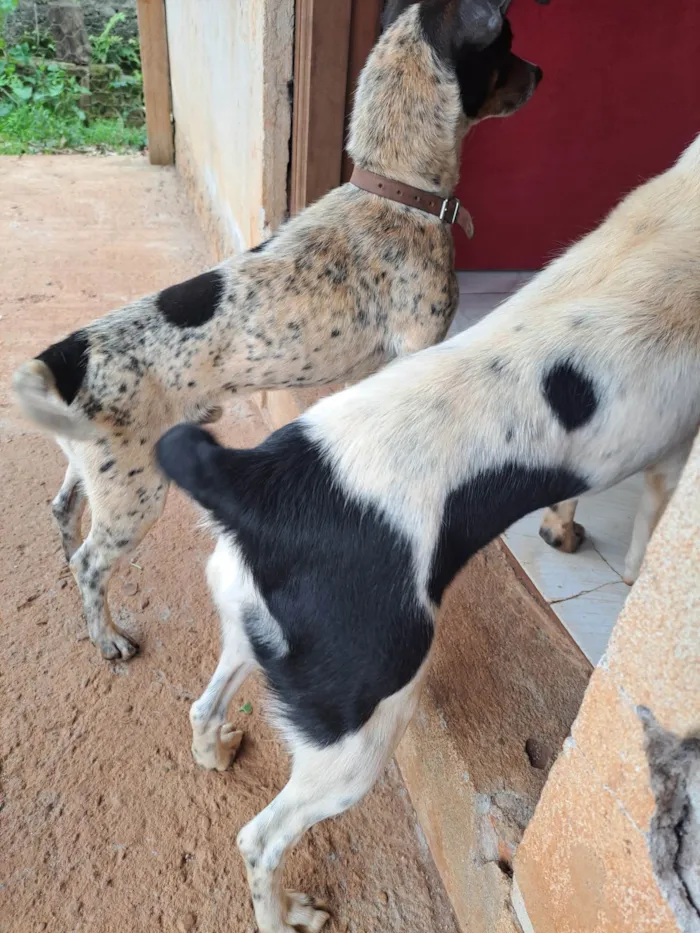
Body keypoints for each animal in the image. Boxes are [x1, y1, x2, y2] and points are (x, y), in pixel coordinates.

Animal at [13, 0, 544, 664]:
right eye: (508, 44)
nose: (542, 73)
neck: (396, 191)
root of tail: (66, 353)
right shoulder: (420, 347)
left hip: (95, 472)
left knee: (62, 512)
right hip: (136, 494)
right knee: (90, 561)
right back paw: (106, 636)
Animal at [157, 133, 700, 932]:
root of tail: (260, 484)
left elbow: (574, 492)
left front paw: (561, 526)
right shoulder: (673, 457)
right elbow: (642, 555)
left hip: (250, 637)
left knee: (205, 704)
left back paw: (215, 750)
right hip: (356, 737)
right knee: (258, 839)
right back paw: (284, 913)